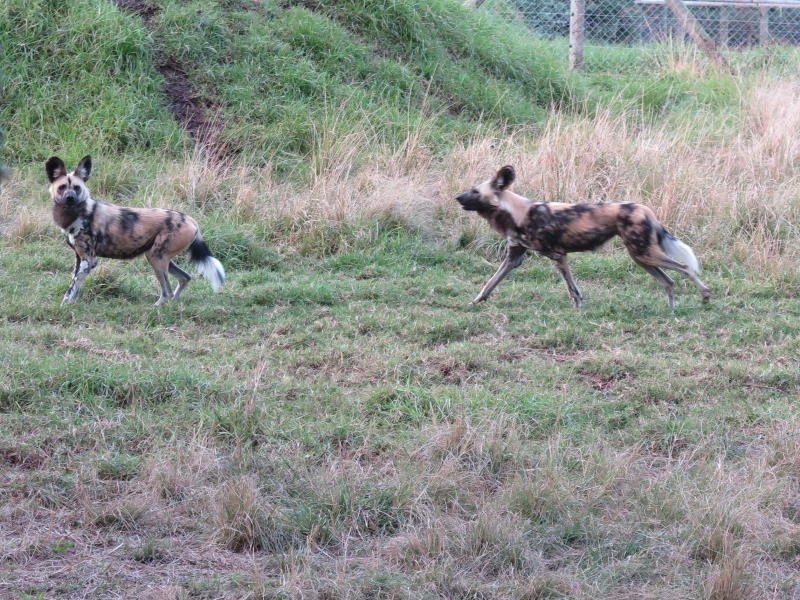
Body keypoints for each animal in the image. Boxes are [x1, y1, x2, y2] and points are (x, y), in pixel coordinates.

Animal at [46, 155, 225, 304]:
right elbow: (72, 288)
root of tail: (191, 220)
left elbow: (72, 288)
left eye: (77, 188)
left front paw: (65, 307)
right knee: (184, 278)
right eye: (62, 187)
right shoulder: (80, 259)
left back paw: (157, 308)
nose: (70, 198)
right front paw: (68, 304)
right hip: (160, 257)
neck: (75, 214)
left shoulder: (88, 261)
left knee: (166, 292)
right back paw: (173, 303)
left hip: (155, 257)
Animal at [456, 166, 712, 312]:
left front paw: (578, 310)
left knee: (685, 268)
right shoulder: (513, 258)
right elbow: (489, 283)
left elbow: (573, 290)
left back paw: (705, 297)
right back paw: (671, 310)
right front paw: (475, 303)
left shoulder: (558, 255)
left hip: (645, 254)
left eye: (475, 192)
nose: (457, 197)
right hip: (642, 257)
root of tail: (644, 209)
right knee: (669, 281)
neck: (516, 213)